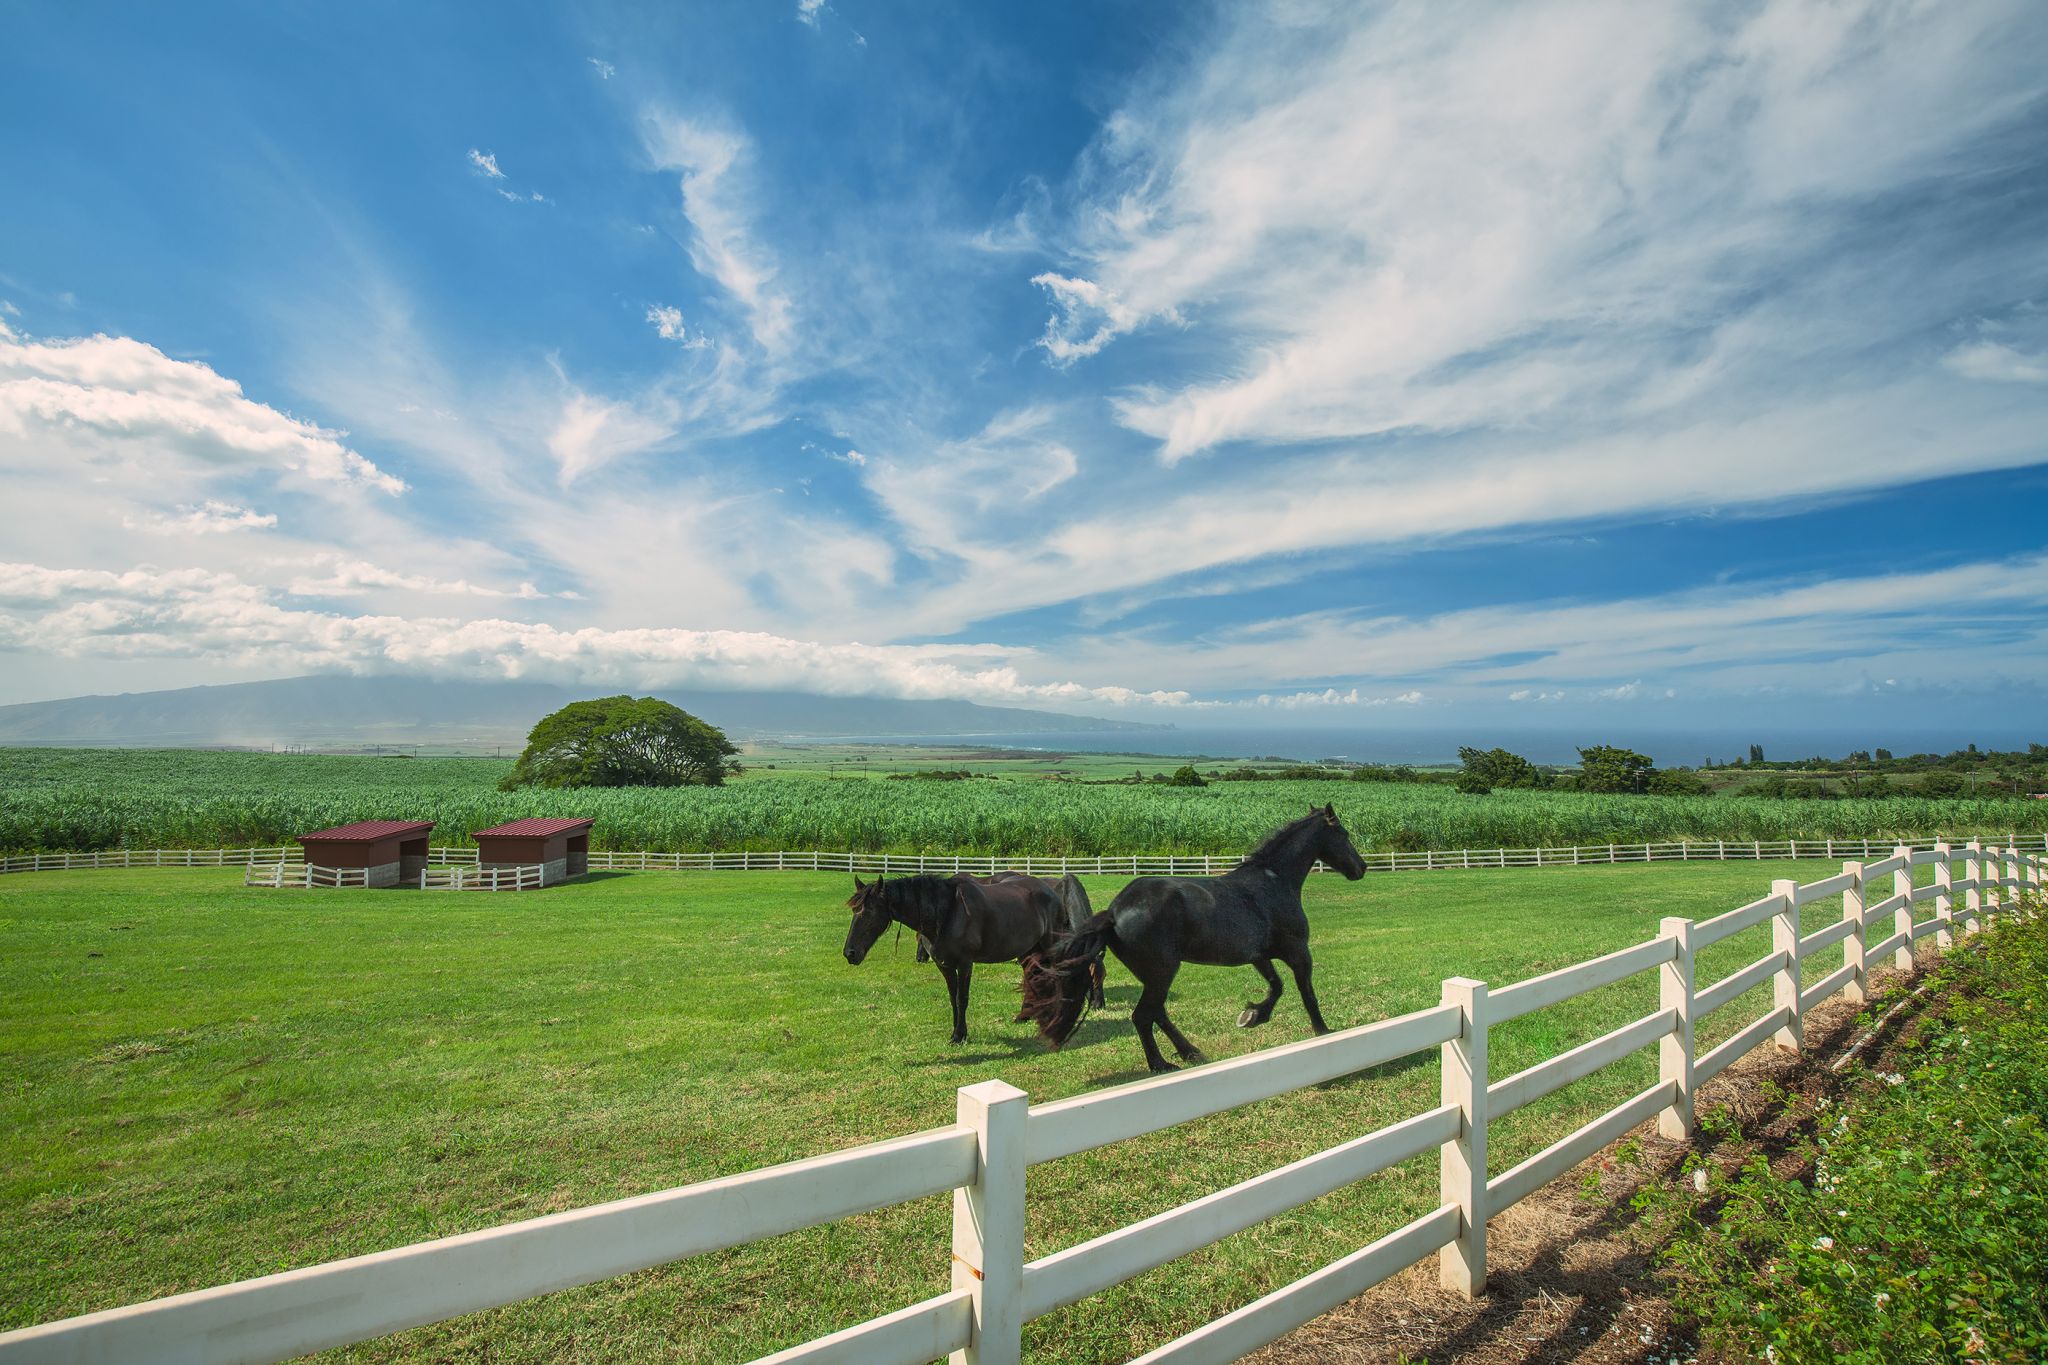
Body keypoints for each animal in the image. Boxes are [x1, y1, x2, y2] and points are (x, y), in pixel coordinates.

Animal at [839, 875, 1097, 1047]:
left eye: (869, 912)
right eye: (854, 912)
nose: (850, 953)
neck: (947, 913)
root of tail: (1052, 890)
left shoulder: (965, 964)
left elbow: (962, 999)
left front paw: (960, 1035)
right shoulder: (944, 965)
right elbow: (953, 999)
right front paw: (956, 1033)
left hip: (1050, 944)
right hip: (1029, 950)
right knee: (1034, 976)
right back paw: (1026, 1015)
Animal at [1019, 806, 1359, 1072]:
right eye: (1344, 834)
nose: (1361, 868)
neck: (1272, 882)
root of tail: (1114, 912)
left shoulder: (1259, 955)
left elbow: (1276, 987)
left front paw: (1251, 1016)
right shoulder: (1298, 951)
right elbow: (1306, 993)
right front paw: (1323, 1031)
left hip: (1155, 975)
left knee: (1157, 1013)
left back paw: (1190, 1052)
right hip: (1163, 972)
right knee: (1143, 1016)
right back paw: (1161, 1064)